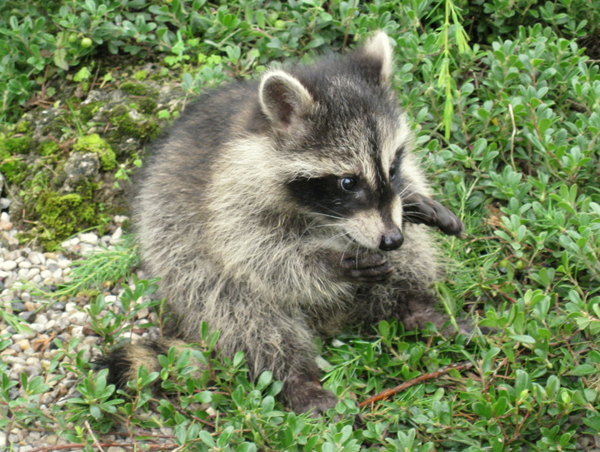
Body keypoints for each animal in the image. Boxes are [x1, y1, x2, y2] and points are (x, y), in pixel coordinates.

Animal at [103, 31, 476, 416]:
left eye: (392, 167)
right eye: (347, 182)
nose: (390, 240)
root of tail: (333, 319)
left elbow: (404, 214)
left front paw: (416, 199)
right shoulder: (226, 194)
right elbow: (258, 253)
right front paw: (328, 263)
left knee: (410, 257)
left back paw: (420, 309)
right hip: (182, 260)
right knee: (245, 312)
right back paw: (296, 378)